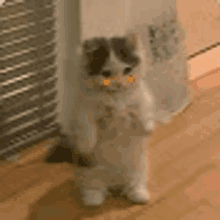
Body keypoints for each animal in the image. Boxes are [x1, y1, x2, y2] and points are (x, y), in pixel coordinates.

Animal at [65, 32, 156, 206]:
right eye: (106, 74)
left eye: (127, 70)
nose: (119, 83)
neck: (116, 96)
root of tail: (115, 182)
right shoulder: (84, 107)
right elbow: (87, 124)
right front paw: (87, 144)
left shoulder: (142, 95)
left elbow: (143, 109)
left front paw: (148, 128)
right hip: (90, 172)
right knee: (94, 187)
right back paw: (93, 199)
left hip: (139, 167)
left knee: (134, 184)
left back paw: (139, 194)